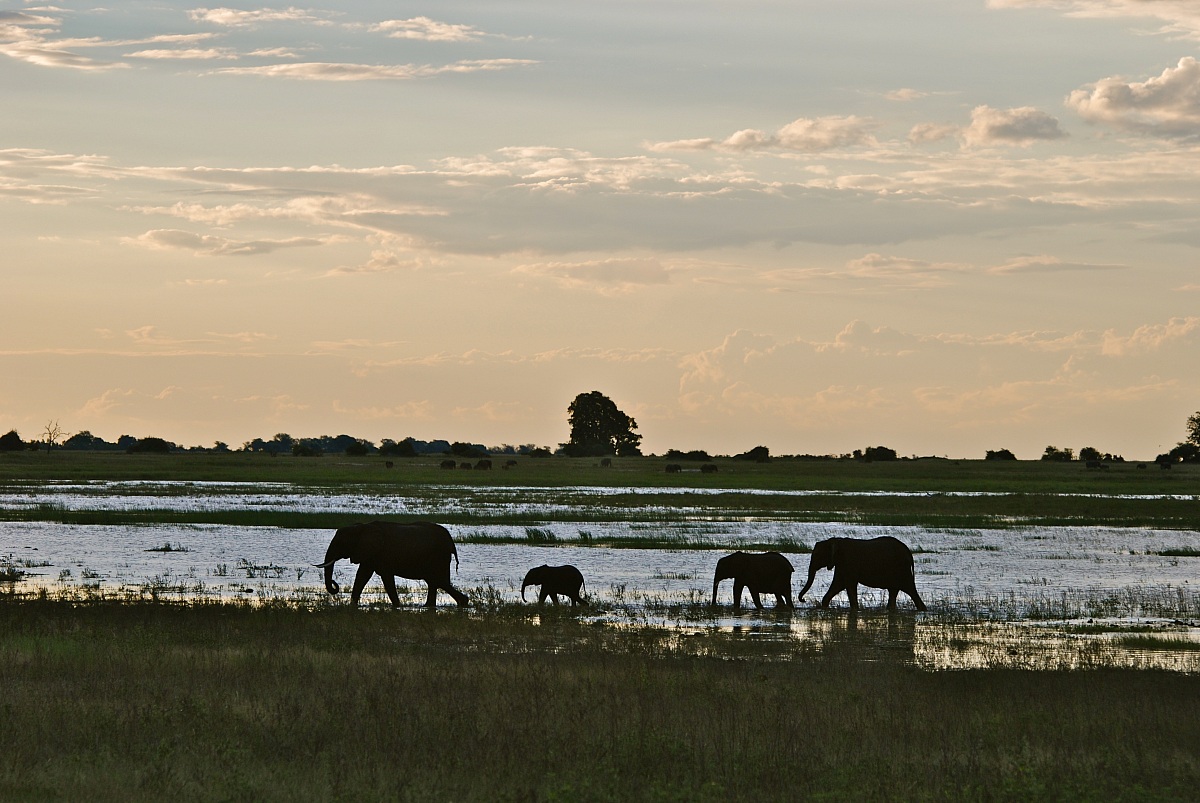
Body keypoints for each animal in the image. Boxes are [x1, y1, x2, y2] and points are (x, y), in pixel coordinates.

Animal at [314, 521, 468, 608]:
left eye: (341, 543)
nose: (335, 584)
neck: (362, 527)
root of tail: (451, 542)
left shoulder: (381, 553)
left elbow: (386, 577)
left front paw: (398, 606)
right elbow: (362, 575)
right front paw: (352, 606)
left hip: (439, 556)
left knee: (438, 580)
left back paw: (463, 602)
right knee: (435, 581)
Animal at [797, 536, 926, 611]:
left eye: (817, 555)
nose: (803, 600)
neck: (836, 541)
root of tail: (908, 552)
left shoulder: (848, 562)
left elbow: (848, 585)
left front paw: (855, 609)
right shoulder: (841, 565)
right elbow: (838, 584)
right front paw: (825, 607)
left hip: (901, 568)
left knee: (910, 589)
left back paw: (922, 609)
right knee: (894, 591)